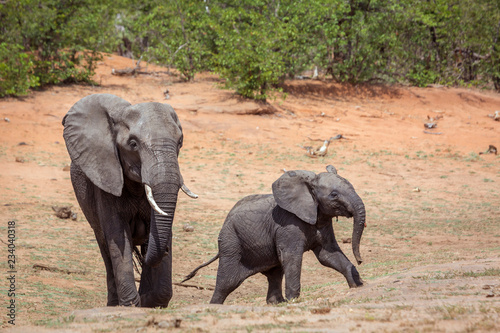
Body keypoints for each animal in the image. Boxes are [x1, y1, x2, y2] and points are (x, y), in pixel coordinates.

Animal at [61, 92, 196, 306]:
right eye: (133, 144)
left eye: (180, 142)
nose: (166, 249)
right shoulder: (106, 180)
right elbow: (118, 238)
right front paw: (132, 304)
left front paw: (149, 300)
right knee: (106, 250)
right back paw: (112, 304)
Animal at [182, 165, 366, 302]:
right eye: (334, 195)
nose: (360, 260)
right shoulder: (288, 226)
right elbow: (292, 258)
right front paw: (294, 301)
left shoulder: (323, 222)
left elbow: (328, 256)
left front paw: (357, 286)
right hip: (230, 241)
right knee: (227, 283)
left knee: (274, 274)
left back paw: (277, 302)